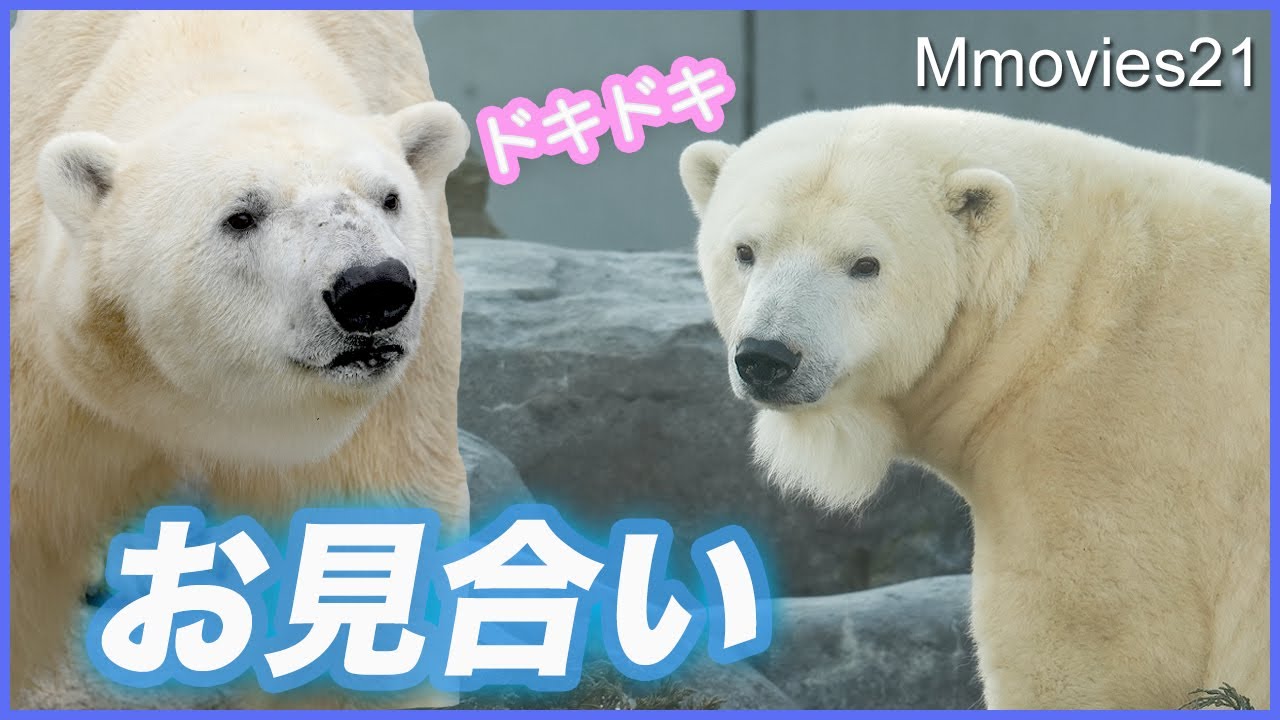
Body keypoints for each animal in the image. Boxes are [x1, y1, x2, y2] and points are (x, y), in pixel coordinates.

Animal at [678, 106, 1269, 710]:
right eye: (745, 250)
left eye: (865, 264)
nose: (767, 357)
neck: (1053, 310)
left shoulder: (1107, 457)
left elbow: (1088, 653)